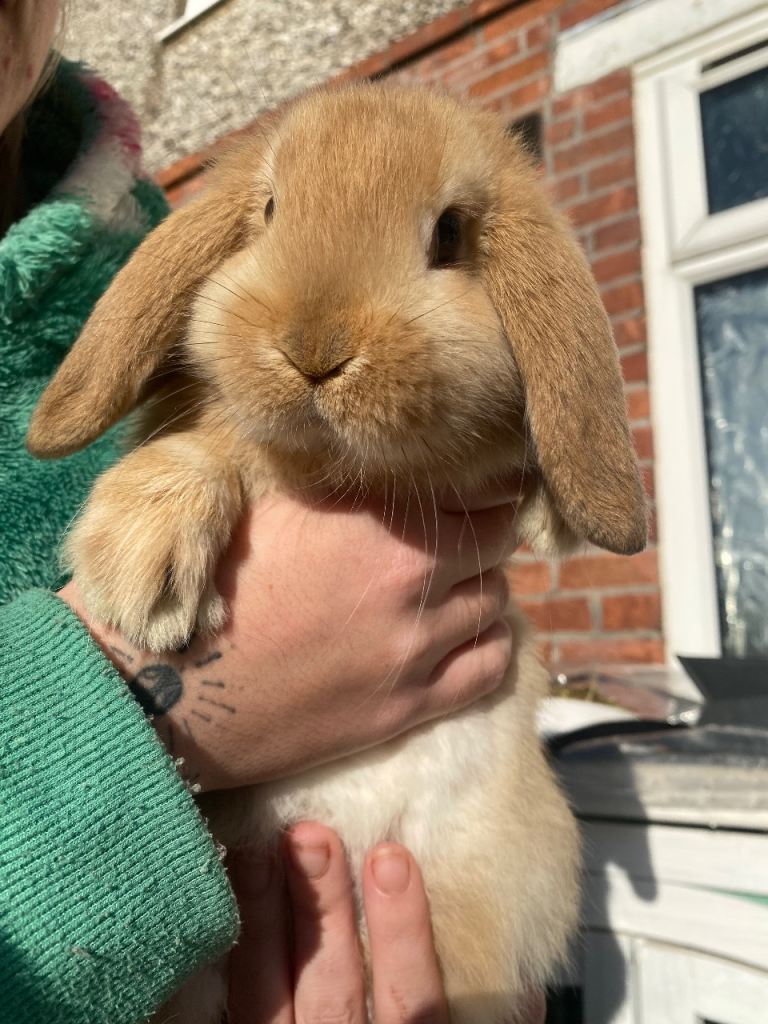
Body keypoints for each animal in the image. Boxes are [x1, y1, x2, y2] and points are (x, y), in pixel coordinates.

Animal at [27, 83, 647, 1023]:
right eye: (269, 211)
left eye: (450, 234)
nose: (312, 351)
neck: (335, 468)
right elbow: (218, 441)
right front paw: (140, 578)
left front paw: (550, 512)